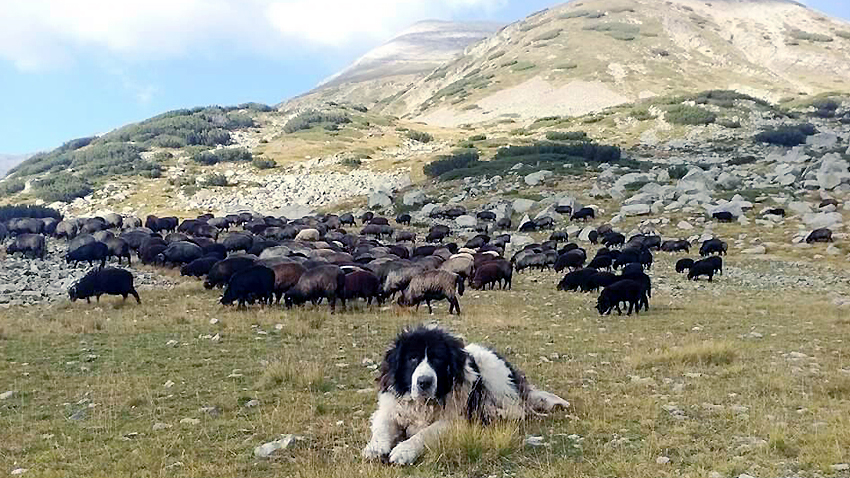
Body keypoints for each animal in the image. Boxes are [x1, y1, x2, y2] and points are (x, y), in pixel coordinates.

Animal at [360, 326, 568, 464]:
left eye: (437, 359)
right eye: (412, 358)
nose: (424, 382)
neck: (424, 404)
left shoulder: (455, 420)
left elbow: (426, 433)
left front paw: (404, 450)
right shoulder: (390, 409)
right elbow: (382, 426)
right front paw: (374, 448)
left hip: (492, 371)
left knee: (517, 409)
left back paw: (494, 413)